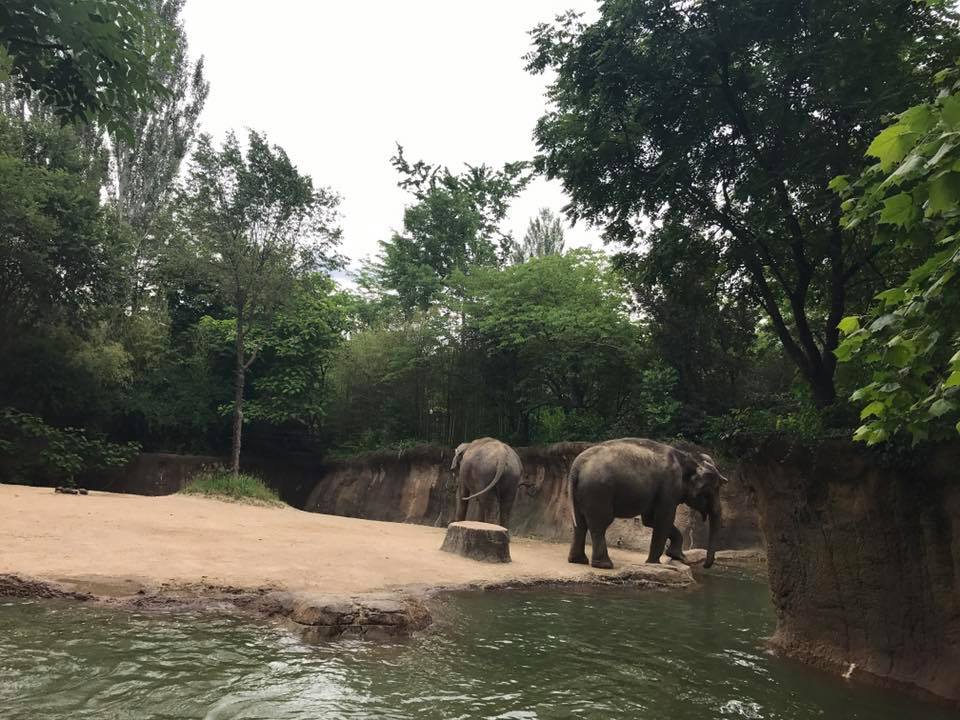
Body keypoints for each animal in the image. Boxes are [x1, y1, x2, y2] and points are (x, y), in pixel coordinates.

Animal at [567, 438, 726, 570]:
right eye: (711, 491)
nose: (705, 566)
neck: (689, 461)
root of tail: (576, 467)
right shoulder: (669, 486)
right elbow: (664, 519)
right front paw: (654, 564)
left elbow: (650, 520)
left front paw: (677, 556)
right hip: (598, 491)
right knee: (600, 524)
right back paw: (604, 565)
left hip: (582, 493)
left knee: (580, 524)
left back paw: (578, 560)